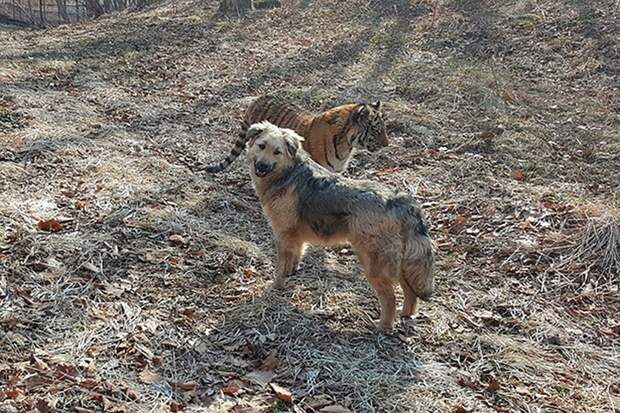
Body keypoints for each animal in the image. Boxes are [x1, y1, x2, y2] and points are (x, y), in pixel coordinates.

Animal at [245, 120, 434, 330]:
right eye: (261, 146)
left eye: (277, 152)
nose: (262, 165)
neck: (289, 172)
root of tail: (400, 200)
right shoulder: (296, 238)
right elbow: (295, 258)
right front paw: (292, 273)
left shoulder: (283, 234)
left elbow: (280, 268)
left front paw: (276, 287)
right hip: (399, 261)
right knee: (410, 291)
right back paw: (406, 314)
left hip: (373, 262)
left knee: (390, 297)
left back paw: (382, 327)